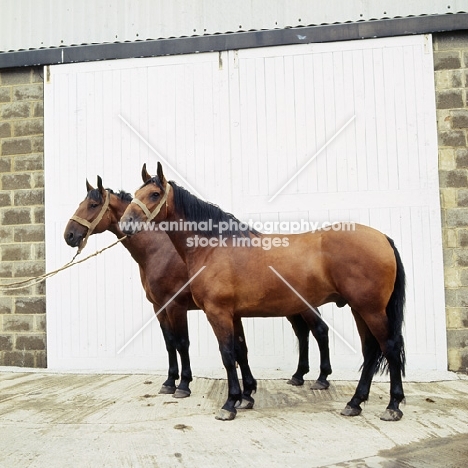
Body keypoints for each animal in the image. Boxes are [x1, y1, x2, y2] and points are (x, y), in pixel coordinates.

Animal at [63, 177, 332, 400]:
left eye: (93, 205)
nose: (69, 235)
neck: (159, 251)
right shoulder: (159, 308)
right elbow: (170, 343)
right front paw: (170, 382)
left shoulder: (177, 306)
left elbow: (183, 343)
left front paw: (183, 385)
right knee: (302, 332)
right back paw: (298, 375)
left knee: (318, 330)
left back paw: (321, 378)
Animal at [119, 163, 406, 422]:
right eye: (136, 192)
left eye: (154, 194)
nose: (126, 224)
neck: (213, 247)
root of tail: (383, 238)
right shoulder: (233, 315)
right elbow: (240, 351)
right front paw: (245, 397)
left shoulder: (216, 313)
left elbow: (227, 355)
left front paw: (229, 404)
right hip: (359, 309)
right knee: (370, 351)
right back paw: (354, 403)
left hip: (370, 310)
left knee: (389, 347)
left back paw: (392, 406)